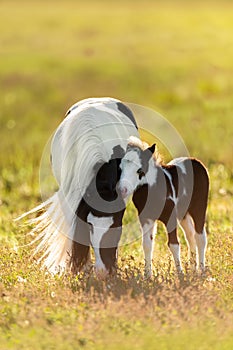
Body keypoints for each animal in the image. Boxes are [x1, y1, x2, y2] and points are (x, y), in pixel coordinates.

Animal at [118, 136, 209, 276]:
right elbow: (147, 245)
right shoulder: (146, 218)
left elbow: (174, 244)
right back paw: (192, 268)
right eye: (120, 168)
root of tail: (196, 162)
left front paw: (180, 275)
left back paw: (202, 270)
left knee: (200, 237)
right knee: (190, 235)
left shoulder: (170, 216)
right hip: (183, 213)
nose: (123, 190)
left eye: (140, 170)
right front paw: (147, 276)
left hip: (199, 207)